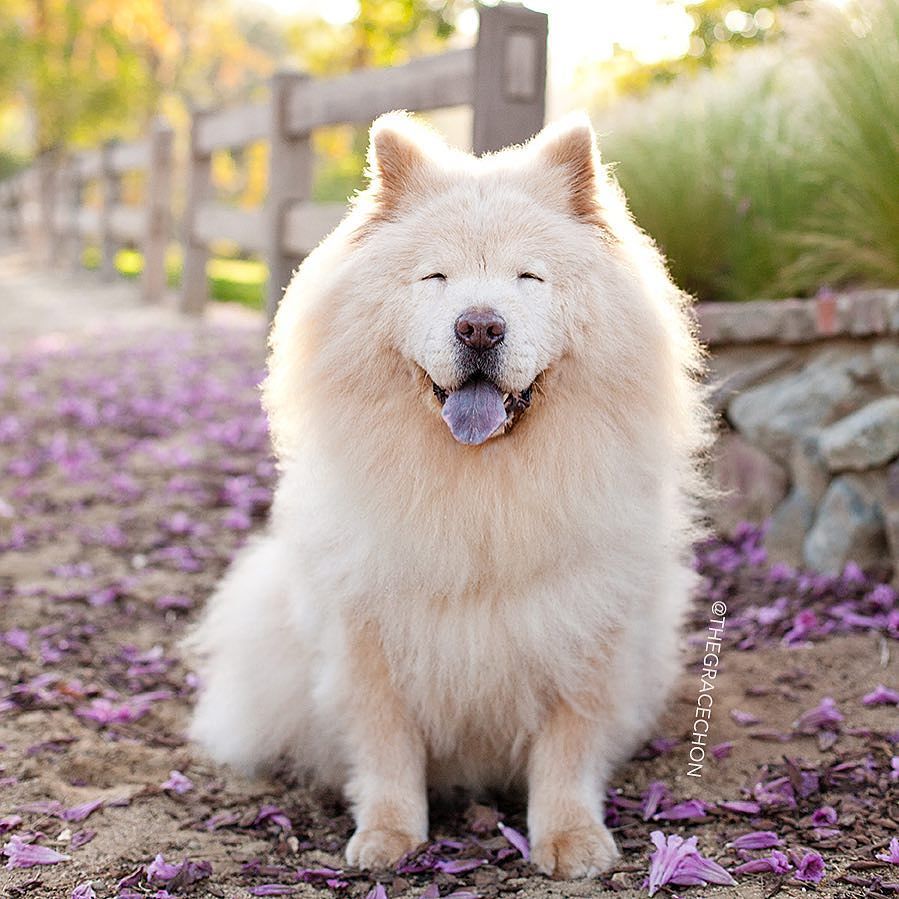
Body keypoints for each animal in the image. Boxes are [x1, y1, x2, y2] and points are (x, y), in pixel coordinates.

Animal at [188, 110, 712, 880]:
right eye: (435, 276)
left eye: (529, 277)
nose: (480, 325)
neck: (478, 490)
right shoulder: (368, 634)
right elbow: (386, 748)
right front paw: (387, 836)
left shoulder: (586, 625)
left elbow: (568, 746)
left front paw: (571, 840)